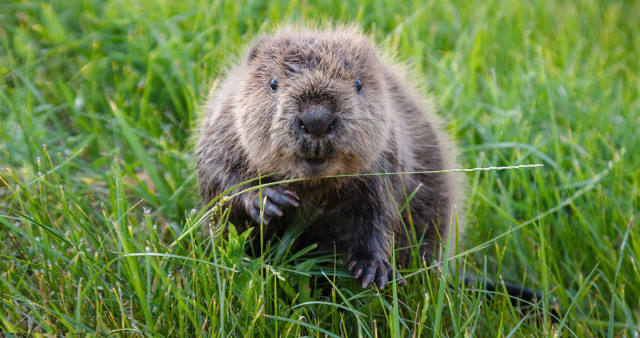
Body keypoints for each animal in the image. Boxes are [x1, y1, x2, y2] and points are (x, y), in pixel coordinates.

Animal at [195, 27, 460, 290]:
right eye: (273, 83)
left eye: (358, 84)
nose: (317, 120)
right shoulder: (224, 127)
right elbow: (217, 175)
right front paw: (268, 198)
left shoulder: (388, 155)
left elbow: (381, 211)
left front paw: (373, 268)